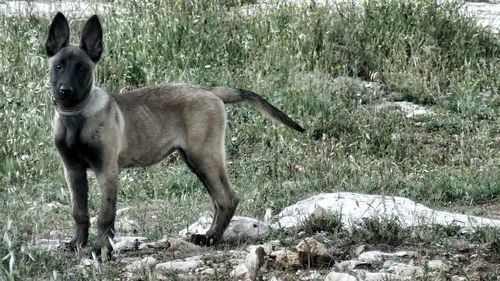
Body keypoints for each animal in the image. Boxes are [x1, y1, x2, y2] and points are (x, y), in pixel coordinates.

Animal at [46, 12, 304, 254]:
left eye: (82, 69)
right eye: (58, 66)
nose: (65, 91)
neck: (76, 116)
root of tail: (210, 91)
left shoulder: (106, 170)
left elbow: (105, 214)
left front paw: (101, 250)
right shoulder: (73, 171)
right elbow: (79, 211)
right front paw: (77, 243)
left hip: (204, 156)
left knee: (227, 198)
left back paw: (211, 238)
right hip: (195, 159)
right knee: (219, 200)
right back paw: (208, 236)